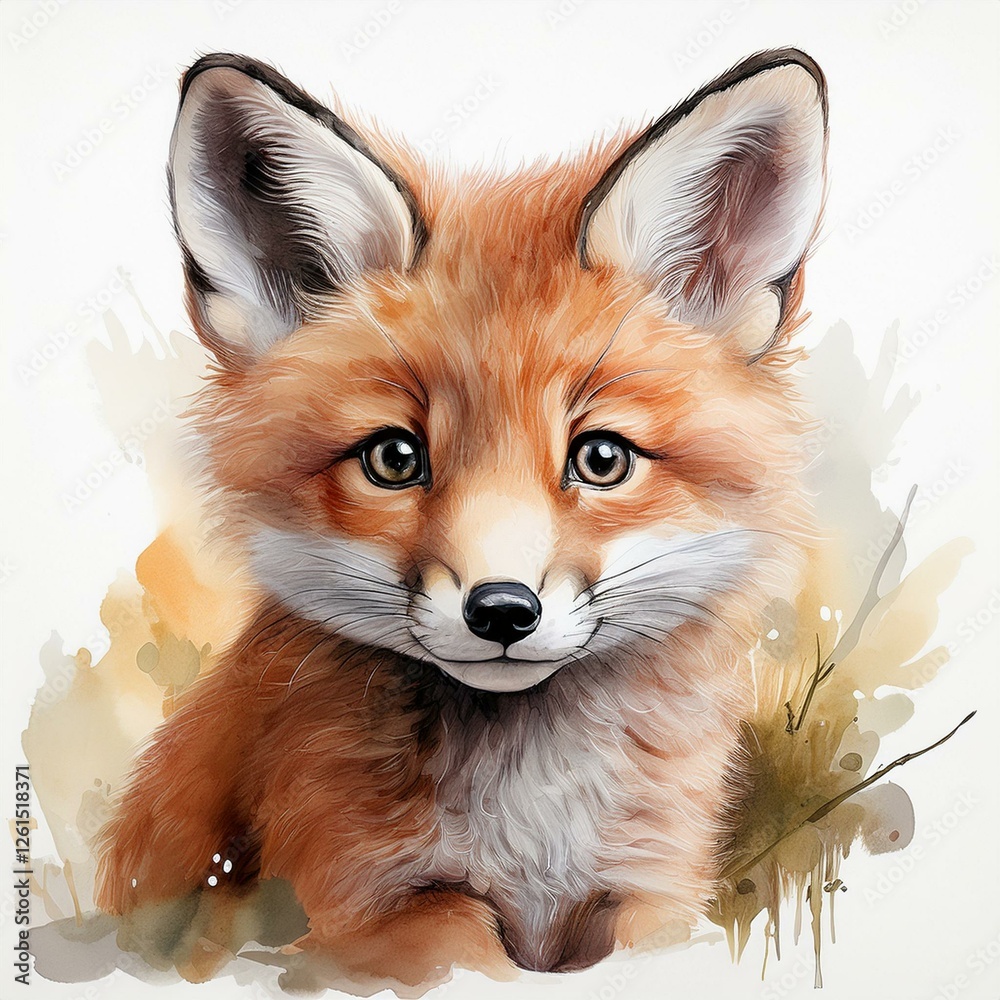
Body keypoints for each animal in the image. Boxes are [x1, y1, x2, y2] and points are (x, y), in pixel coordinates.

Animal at [96, 48, 827, 987]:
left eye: (602, 459)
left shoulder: (649, 893)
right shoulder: (375, 909)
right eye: (393, 459)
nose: (503, 611)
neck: (534, 826)